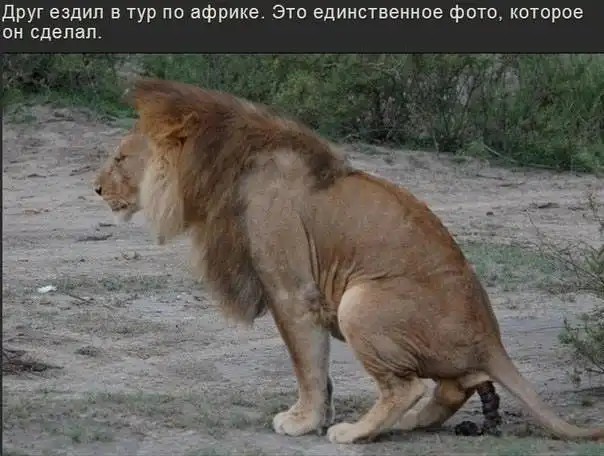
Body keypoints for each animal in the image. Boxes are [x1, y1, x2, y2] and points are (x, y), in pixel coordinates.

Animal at [93, 78, 603, 443]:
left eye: (119, 159)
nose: (95, 189)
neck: (222, 166)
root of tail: (493, 340)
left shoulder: (292, 291)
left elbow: (307, 364)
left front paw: (304, 421)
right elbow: (319, 371)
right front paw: (316, 415)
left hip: (360, 301)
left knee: (407, 386)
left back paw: (357, 432)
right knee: (453, 387)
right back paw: (407, 424)